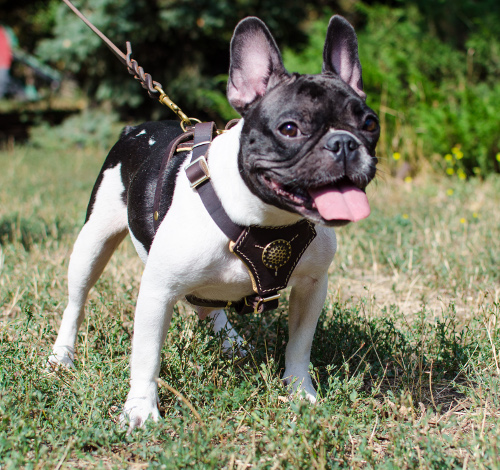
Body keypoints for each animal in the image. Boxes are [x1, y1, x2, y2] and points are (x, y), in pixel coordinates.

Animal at [48, 16, 378, 432]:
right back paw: (62, 355)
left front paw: (300, 393)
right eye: (290, 129)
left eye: (370, 123)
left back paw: (231, 340)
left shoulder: (313, 286)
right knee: (77, 300)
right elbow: (146, 356)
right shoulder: (157, 292)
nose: (344, 143)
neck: (266, 219)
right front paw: (140, 410)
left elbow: (299, 346)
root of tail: (133, 129)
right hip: (93, 242)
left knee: (208, 304)